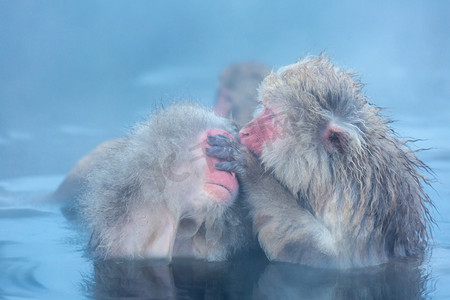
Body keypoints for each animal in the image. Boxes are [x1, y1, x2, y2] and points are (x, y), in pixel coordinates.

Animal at [207, 55, 432, 268]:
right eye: (264, 109)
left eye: (273, 117)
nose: (245, 131)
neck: (329, 173)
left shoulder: (356, 203)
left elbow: (328, 256)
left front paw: (250, 169)